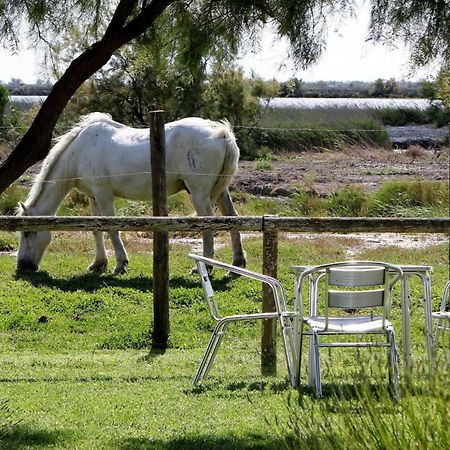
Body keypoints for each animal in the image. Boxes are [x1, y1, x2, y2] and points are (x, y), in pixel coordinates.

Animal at [16, 112, 246, 274]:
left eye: (27, 232)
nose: (22, 266)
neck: (78, 152)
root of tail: (221, 132)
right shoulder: (93, 197)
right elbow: (96, 229)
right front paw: (98, 264)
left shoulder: (104, 195)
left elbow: (111, 228)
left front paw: (120, 264)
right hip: (220, 191)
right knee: (232, 218)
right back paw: (237, 263)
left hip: (199, 194)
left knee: (208, 225)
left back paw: (206, 266)